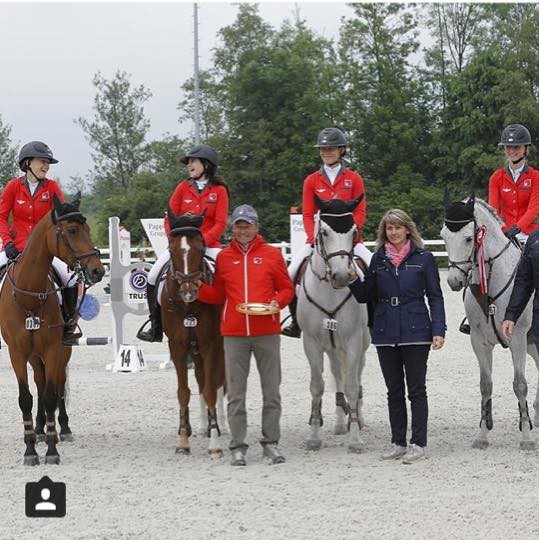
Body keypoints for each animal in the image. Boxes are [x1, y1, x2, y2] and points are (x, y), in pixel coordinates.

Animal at [0, 194, 105, 464]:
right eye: (72, 230)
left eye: (88, 229)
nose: (98, 270)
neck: (29, 295)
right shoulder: (17, 353)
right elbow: (26, 398)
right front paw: (30, 449)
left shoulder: (54, 349)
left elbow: (50, 396)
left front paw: (51, 450)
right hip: (34, 355)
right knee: (40, 381)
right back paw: (38, 429)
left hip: (61, 350)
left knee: (56, 384)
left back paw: (61, 430)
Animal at [161, 207, 227, 456]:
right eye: (171, 248)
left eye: (200, 246)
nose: (189, 291)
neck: (188, 307)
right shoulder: (178, 346)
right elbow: (184, 391)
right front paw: (182, 439)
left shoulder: (210, 344)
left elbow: (210, 390)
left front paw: (215, 443)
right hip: (194, 351)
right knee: (200, 379)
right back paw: (199, 426)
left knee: (217, 382)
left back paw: (220, 425)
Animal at [300, 196, 372, 454]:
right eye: (324, 232)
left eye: (353, 232)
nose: (342, 277)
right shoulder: (311, 343)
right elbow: (317, 386)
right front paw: (313, 436)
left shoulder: (352, 341)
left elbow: (351, 385)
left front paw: (355, 440)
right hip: (331, 347)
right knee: (336, 374)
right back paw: (341, 423)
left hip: (361, 345)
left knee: (356, 378)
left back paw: (356, 419)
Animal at [440, 192, 539, 450]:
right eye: (444, 236)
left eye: (468, 238)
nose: (454, 281)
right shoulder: (479, 341)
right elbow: (485, 385)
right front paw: (483, 435)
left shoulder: (517, 339)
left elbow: (520, 384)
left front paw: (526, 437)